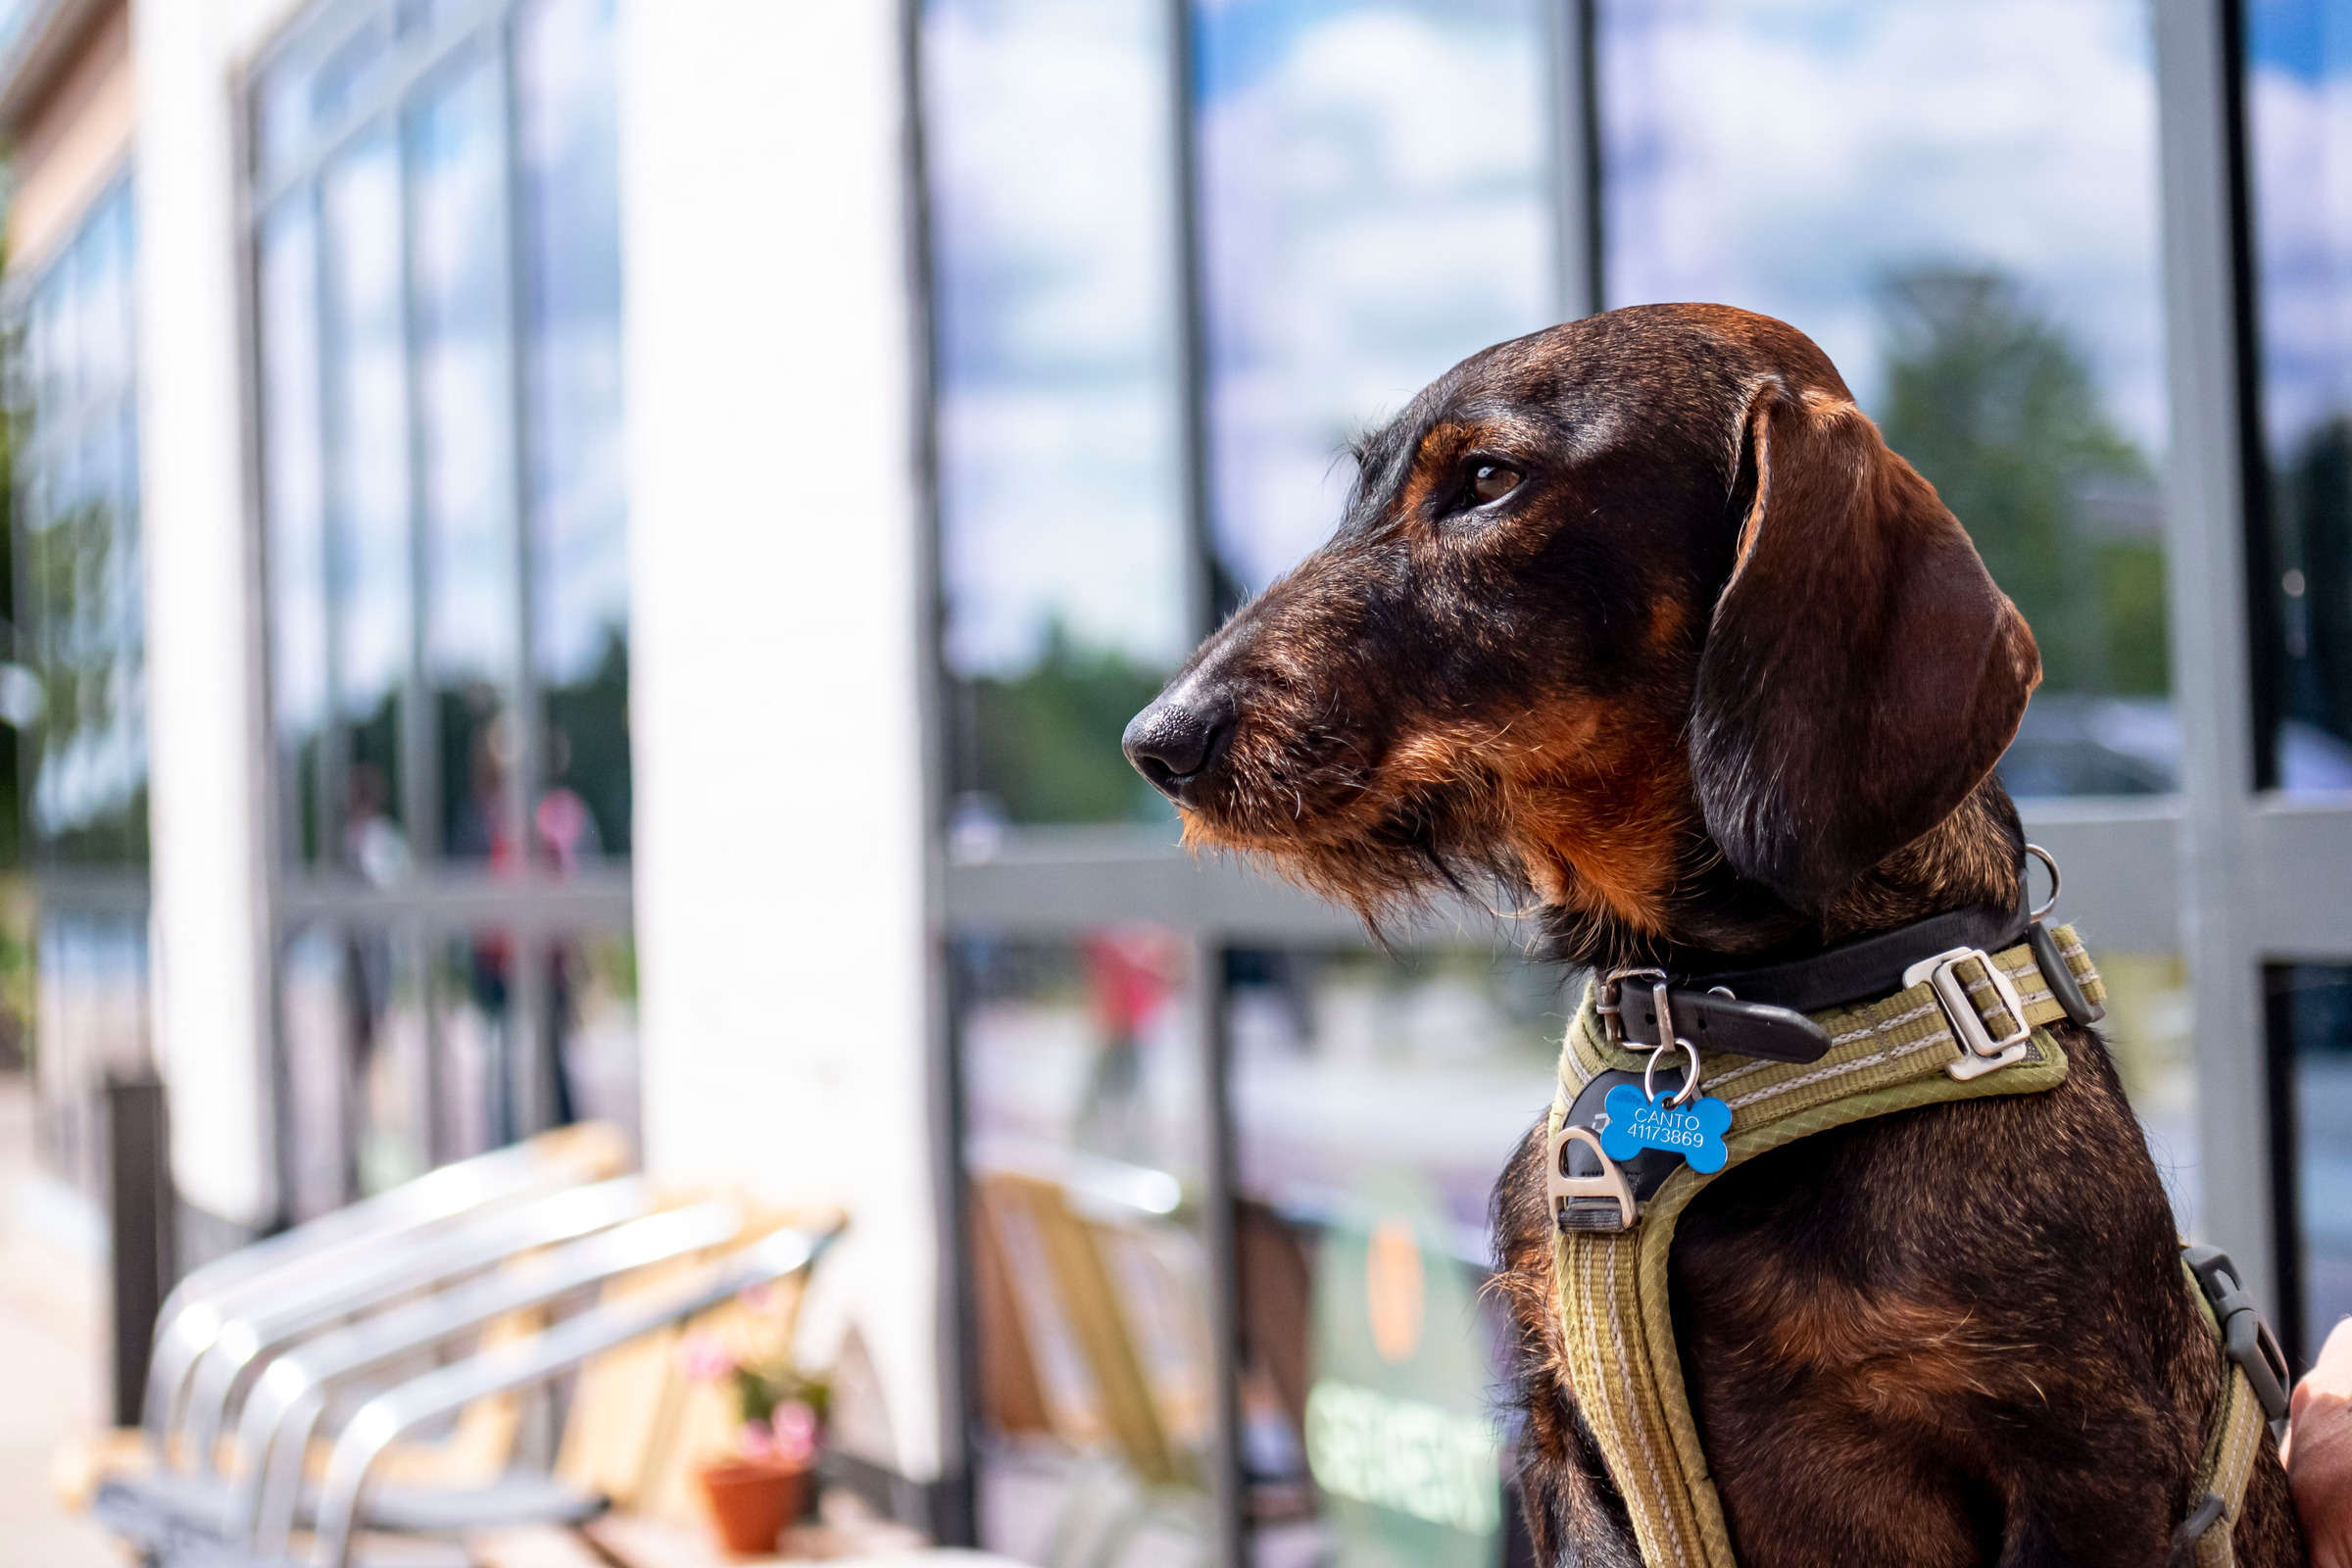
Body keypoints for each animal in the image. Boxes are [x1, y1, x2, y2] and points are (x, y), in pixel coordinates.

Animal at [1119, 305, 2295, 1568]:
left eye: (1485, 479)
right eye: (1363, 489)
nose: (1159, 740)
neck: (1740, 1015)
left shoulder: (2091, 1464)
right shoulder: (1566, 1441)